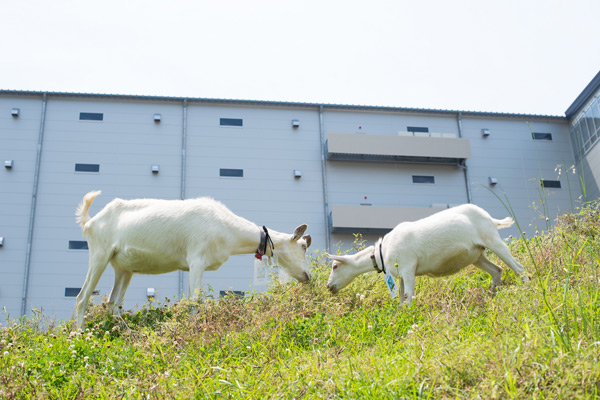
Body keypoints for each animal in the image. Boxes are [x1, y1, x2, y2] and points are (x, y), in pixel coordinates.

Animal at [72, 191, 312, 328]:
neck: (225, 228)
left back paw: (122, 331)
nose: (307, 276)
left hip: (123, 267)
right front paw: (194, 328)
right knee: (82, 297)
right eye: (302, 247)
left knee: (114, 302)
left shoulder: (192, 266)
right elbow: (195, 300)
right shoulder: (197, 260)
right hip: (99, 253)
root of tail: (90, 221)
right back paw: (81, 334)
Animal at [326, 205, 528, 302]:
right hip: (477, 255)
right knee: (497, 270)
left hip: (492, 240)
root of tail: (490, 218)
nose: (329, 287)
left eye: (335, 266)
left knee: (518, 268)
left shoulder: (408, 267)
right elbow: (401, 298)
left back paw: (528, 289)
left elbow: (408, 296)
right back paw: (492, 296)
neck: (382, 251)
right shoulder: (400, 275)